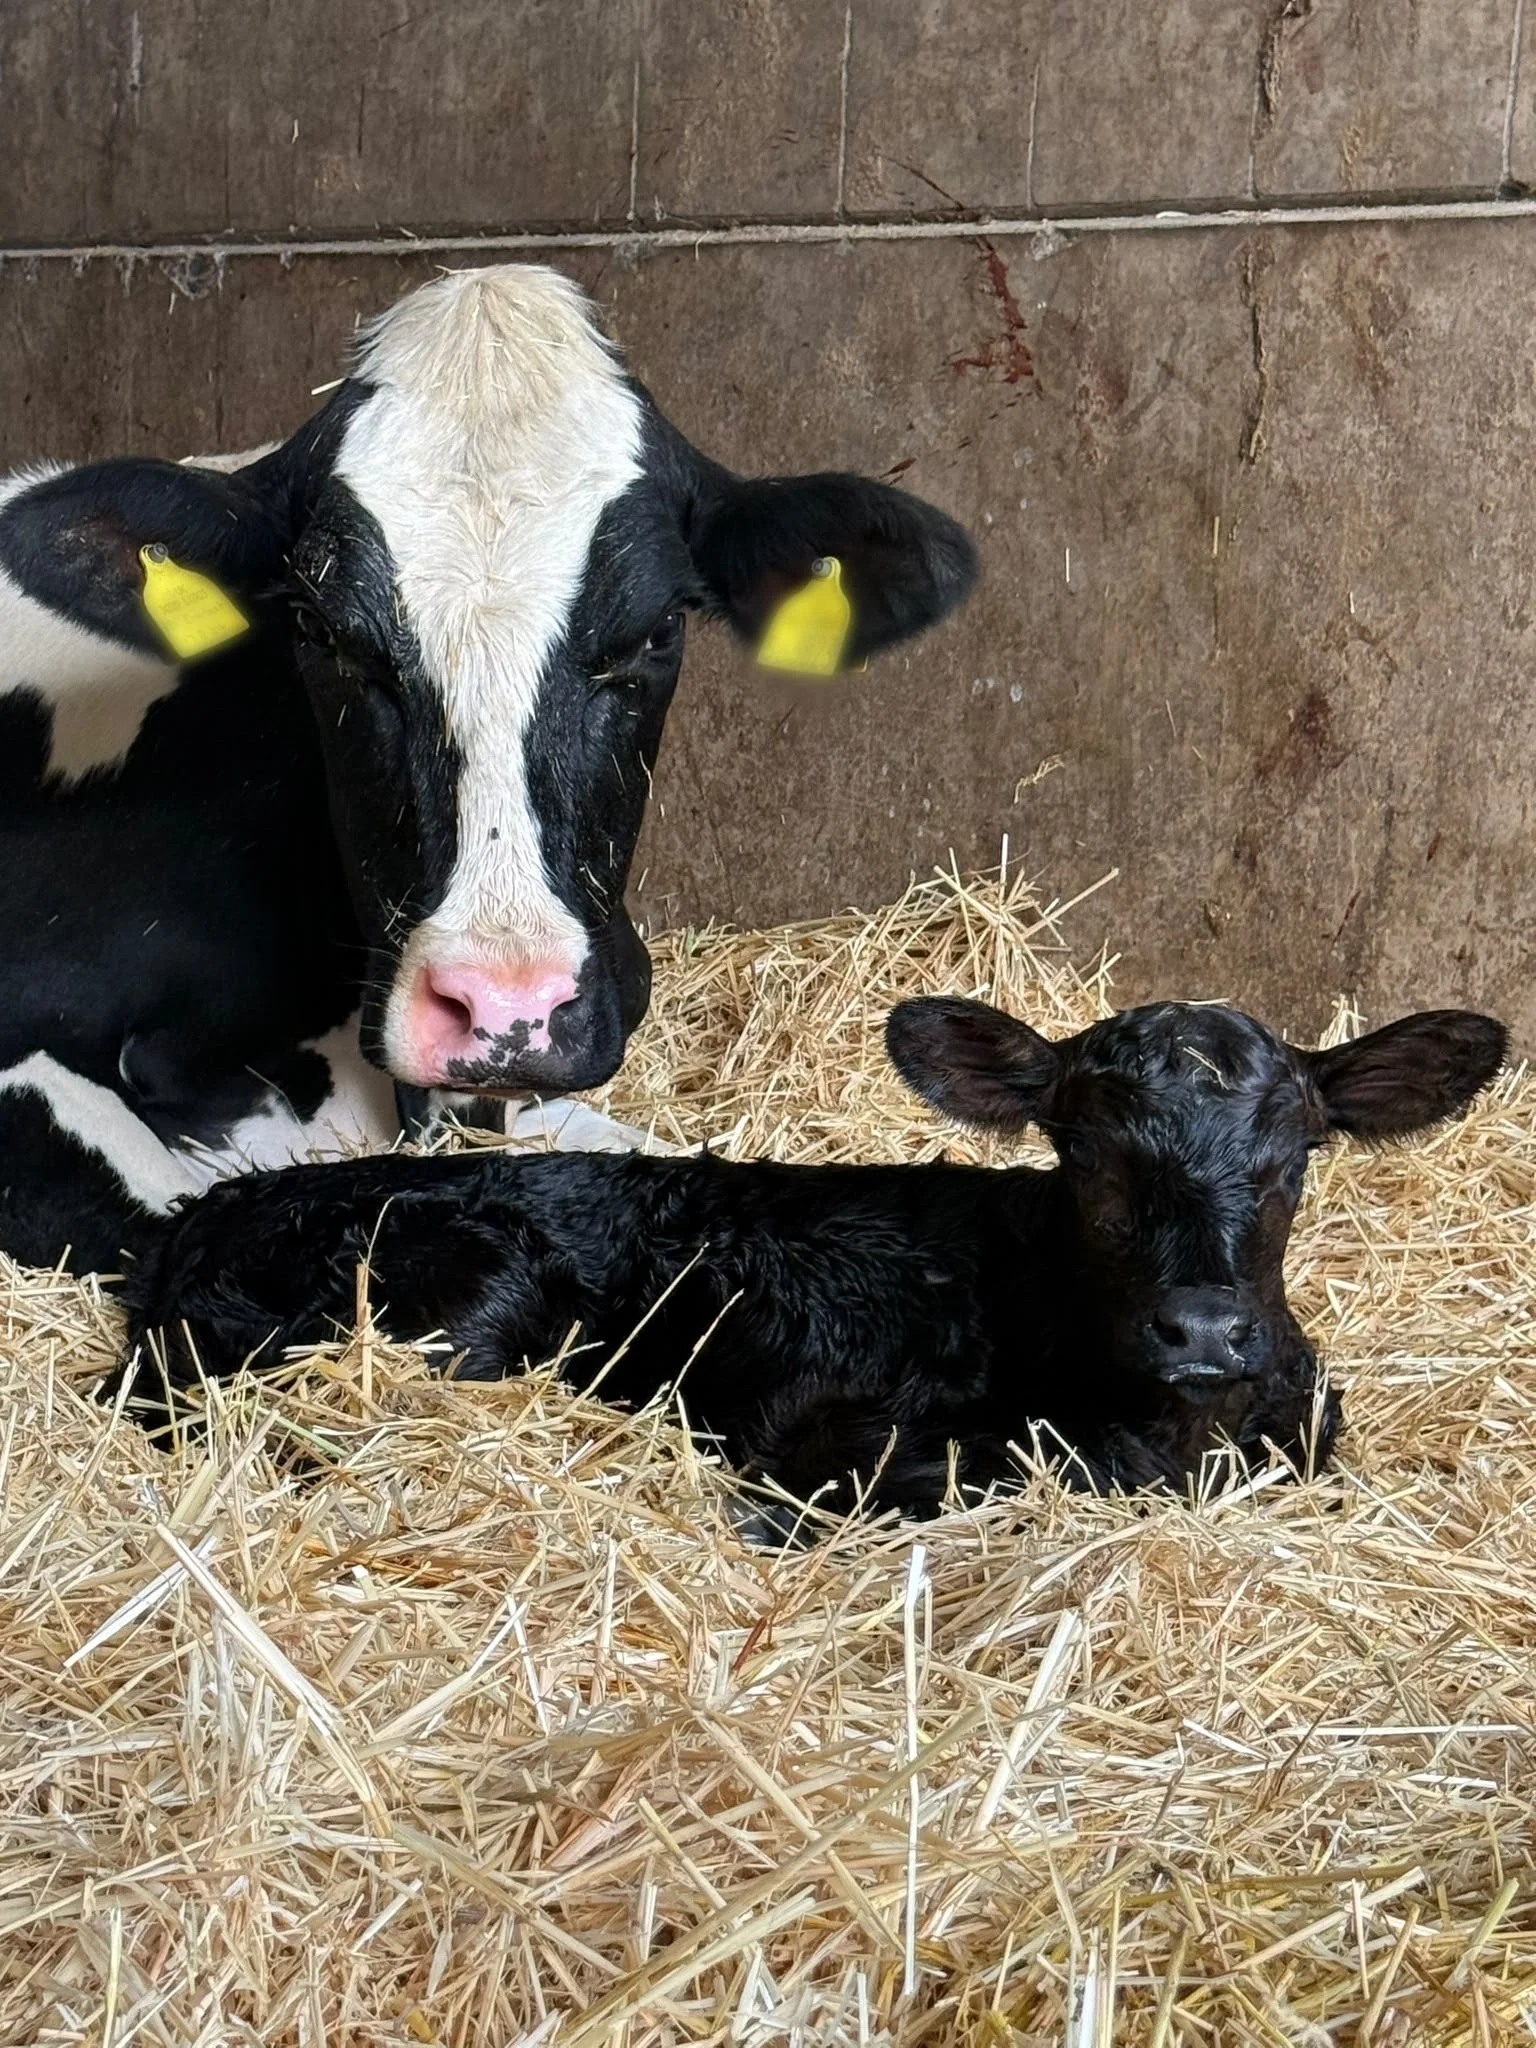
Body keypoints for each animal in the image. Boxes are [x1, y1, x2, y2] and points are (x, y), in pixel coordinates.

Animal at [119, 995, 1507, 1529]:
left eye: (1295, 1156)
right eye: (1089, 1156)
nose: (1207, 1327)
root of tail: (192, 1224)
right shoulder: (812, 1418)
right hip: (461, 1284)